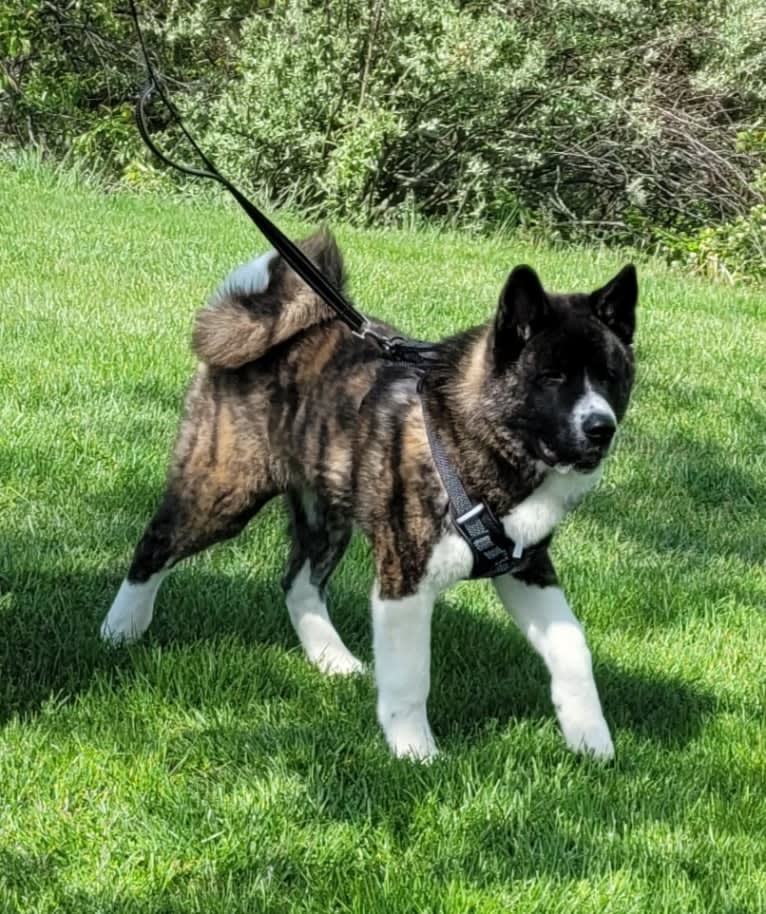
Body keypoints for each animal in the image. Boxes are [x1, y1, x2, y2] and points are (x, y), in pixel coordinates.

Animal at [103, 230, 640, 764]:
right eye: (551, 377)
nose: (600, 429)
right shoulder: (405, 578)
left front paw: (590, 737)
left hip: (326, 513)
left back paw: (331, 659)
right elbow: (411, 676)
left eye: (610, 376)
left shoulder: (526, 568)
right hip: (223, 492)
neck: (476, 438)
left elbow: (572, 647)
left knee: (299, 585)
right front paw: (415, 752)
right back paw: (120, 628)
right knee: (155, 546)